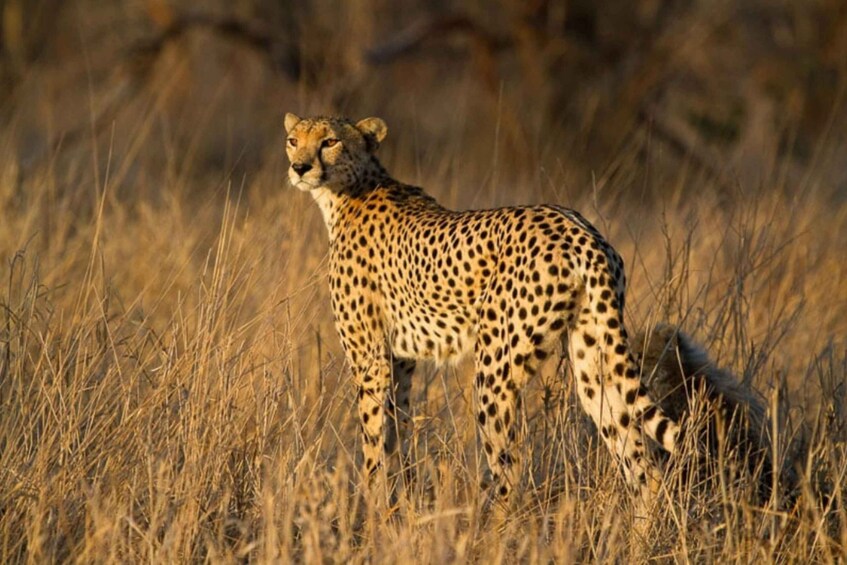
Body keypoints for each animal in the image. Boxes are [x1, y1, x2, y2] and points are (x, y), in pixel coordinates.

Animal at [283, 113, 681, 510]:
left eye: (330, 141)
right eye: (293, 140)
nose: (299, 168)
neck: (348, 191)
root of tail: (578, 229)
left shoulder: (370, 357)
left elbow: (372, 435)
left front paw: (371, 506)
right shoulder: (400, 359)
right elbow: (395, 430)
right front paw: (397, 502)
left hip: (495, 367)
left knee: (510, 468)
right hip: (594, 358)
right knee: (640, 462)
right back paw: (642, 526)